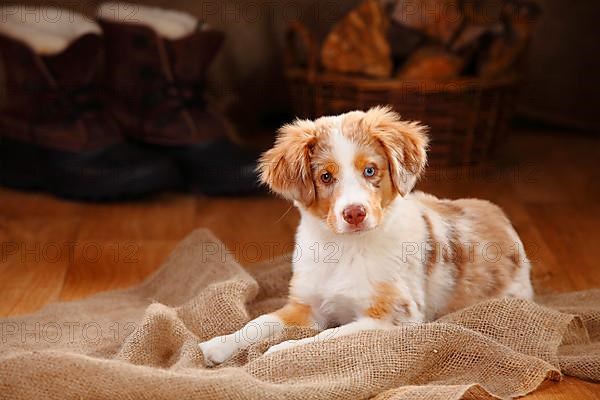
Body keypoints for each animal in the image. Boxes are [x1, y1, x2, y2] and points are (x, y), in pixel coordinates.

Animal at [199, 106, 532, 366]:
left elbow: (326, 337)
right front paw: (217, 344)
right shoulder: (307, 304)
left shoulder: (390, 318)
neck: (345, 248)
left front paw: (280, 352)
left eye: (370, 171)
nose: (354, 213)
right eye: (326, 177)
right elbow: (262, 320)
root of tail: (499, 215)